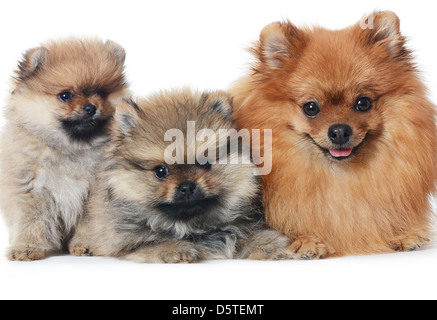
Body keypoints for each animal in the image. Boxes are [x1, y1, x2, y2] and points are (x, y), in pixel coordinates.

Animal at [0, 38, 129, 262]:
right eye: (65, 95)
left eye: (101, 93)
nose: (91, 107)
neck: (72, 147)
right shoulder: (30, 188)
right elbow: (31, 220)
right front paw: (26, 247)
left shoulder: (93, 193)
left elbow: (90, 222)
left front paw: (87, 244)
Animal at [70, 88, 292, 262]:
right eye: (161, 171)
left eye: (205, 163)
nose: (187, 186)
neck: (190, 225)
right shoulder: (125, 240)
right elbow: (152, 241)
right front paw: (173, 249)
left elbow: (243, 233)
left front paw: (268, 244)